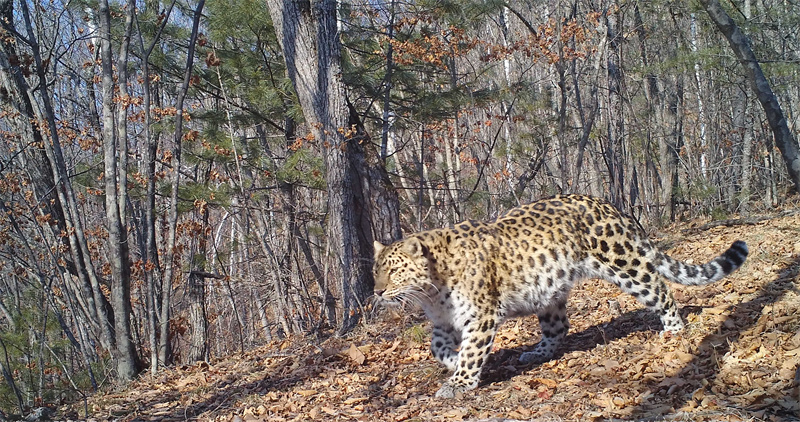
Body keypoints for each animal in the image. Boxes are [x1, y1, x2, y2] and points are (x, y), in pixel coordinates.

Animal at [376, 195, 752, 398]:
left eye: (393, 271)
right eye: (376, 270)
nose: (377, 291)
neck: (431, 291)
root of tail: (609, 205)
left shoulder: (481, 315)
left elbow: (471, 352)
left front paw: (459, 382)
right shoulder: (445, 321)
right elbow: (436, 346)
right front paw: (452, 363)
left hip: (625, 264)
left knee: (660, 288)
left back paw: (673, 329)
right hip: (548, 293)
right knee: (559, 328)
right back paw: (535, 353)